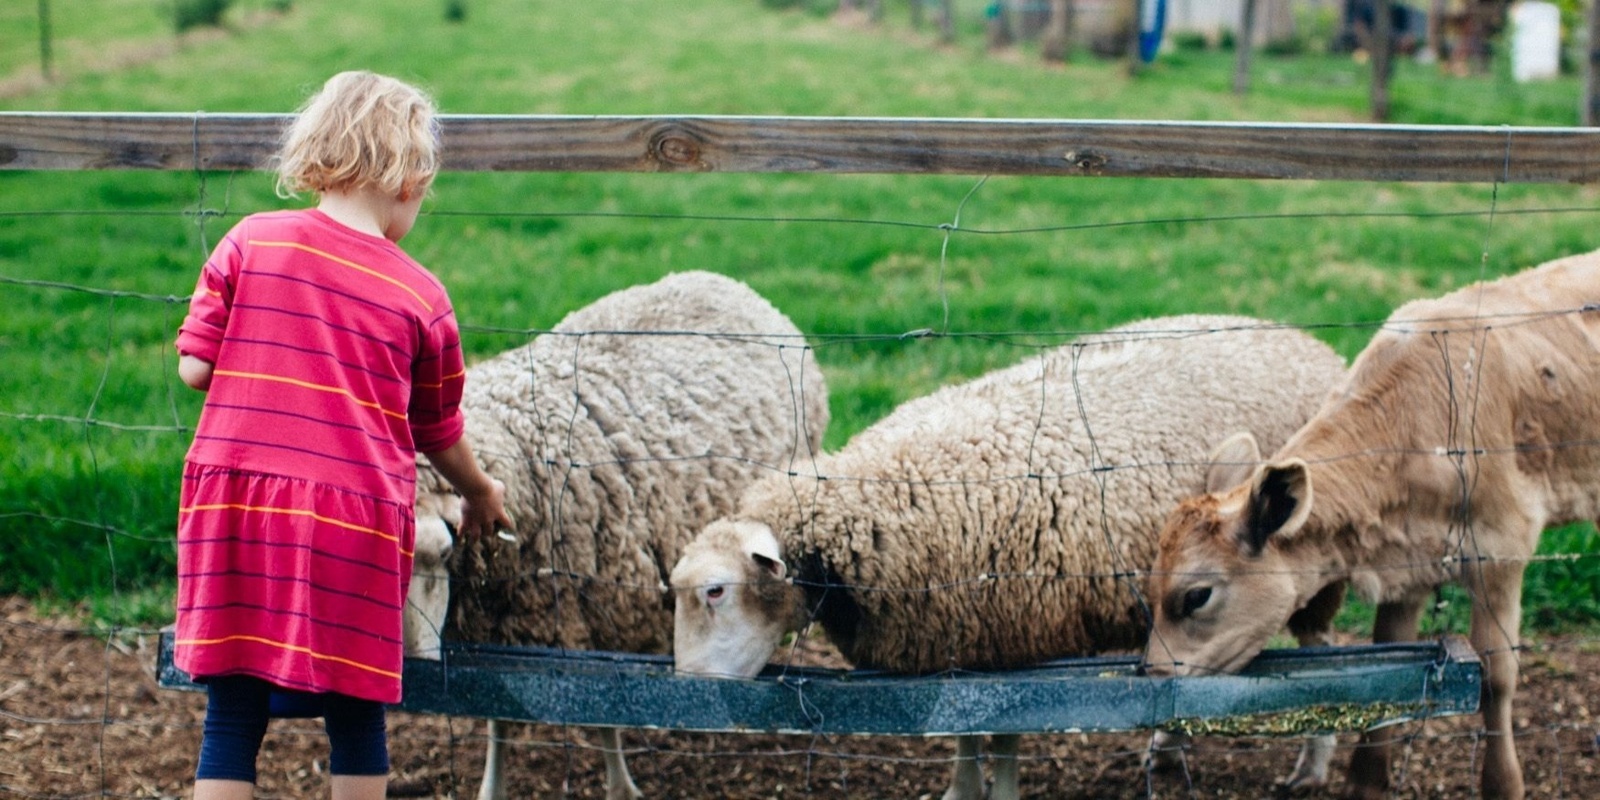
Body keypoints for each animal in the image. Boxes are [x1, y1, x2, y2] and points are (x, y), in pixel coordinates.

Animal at [406, 270, 832, 800]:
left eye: (442, 553)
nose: (412, 672)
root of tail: (717, 279)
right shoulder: (501, 628)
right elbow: (496, 717)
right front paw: (491, 787)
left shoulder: (594, 611)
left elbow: (603, 710)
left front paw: (621, 786)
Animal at [668, 312, 1344, 800]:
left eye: (715, 590)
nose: (684, 693)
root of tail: (1301, 338)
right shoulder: (959, 645)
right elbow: (964, 736)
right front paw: (960, 790)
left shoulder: (1011, 638)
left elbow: (1004, 733)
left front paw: (1000, 791)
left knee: (1326, 661)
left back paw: (1313, 766)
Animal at [1145, 246, 1600, 796]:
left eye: (1196, 596)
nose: (1151, 675)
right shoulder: (1409, 561)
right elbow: (1391, 657)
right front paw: (1366, 780)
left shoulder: (1501, 551)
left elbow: (1496, 677)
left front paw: (1503, 785)